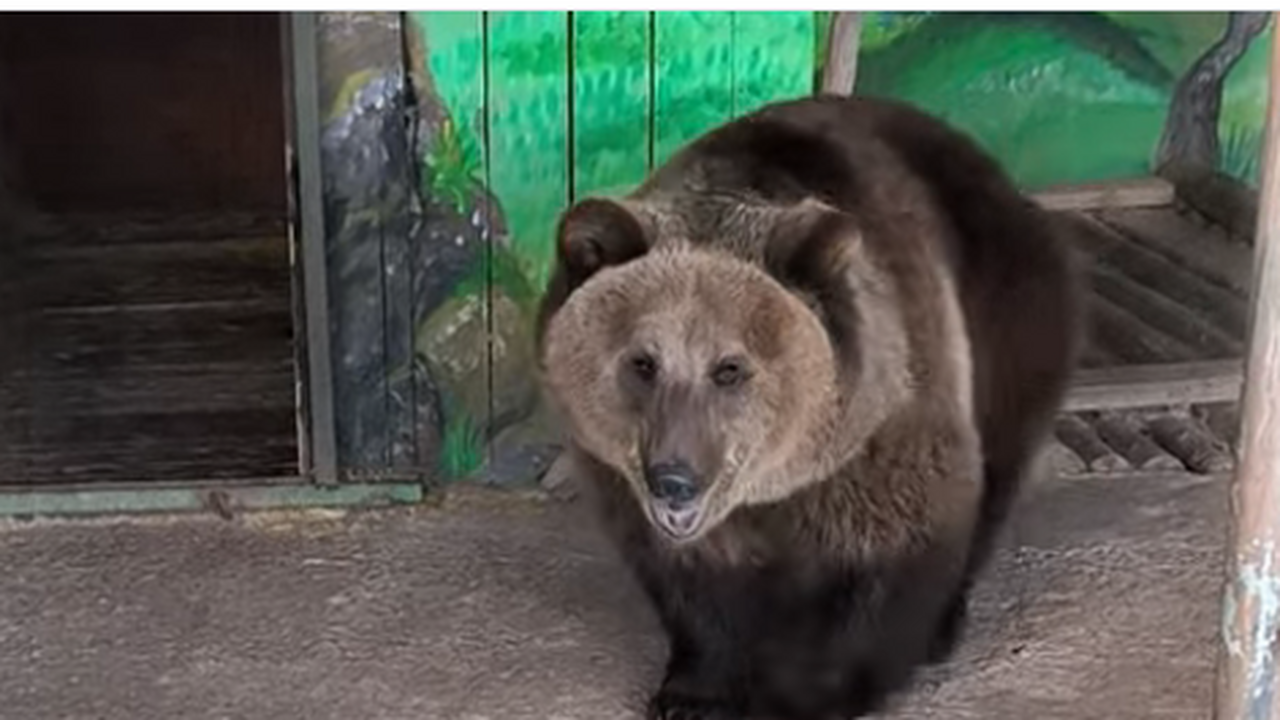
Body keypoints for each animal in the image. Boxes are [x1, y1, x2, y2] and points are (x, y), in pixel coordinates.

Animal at [529, 95, 1080, 717]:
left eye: (730, 367)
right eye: (643, 361)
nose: (674, 479)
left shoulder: (880, 431)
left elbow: (896, 555)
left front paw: (803, 693)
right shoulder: (625, 485)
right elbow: (692, 588)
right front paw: (694, 691)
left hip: (1008, 319)